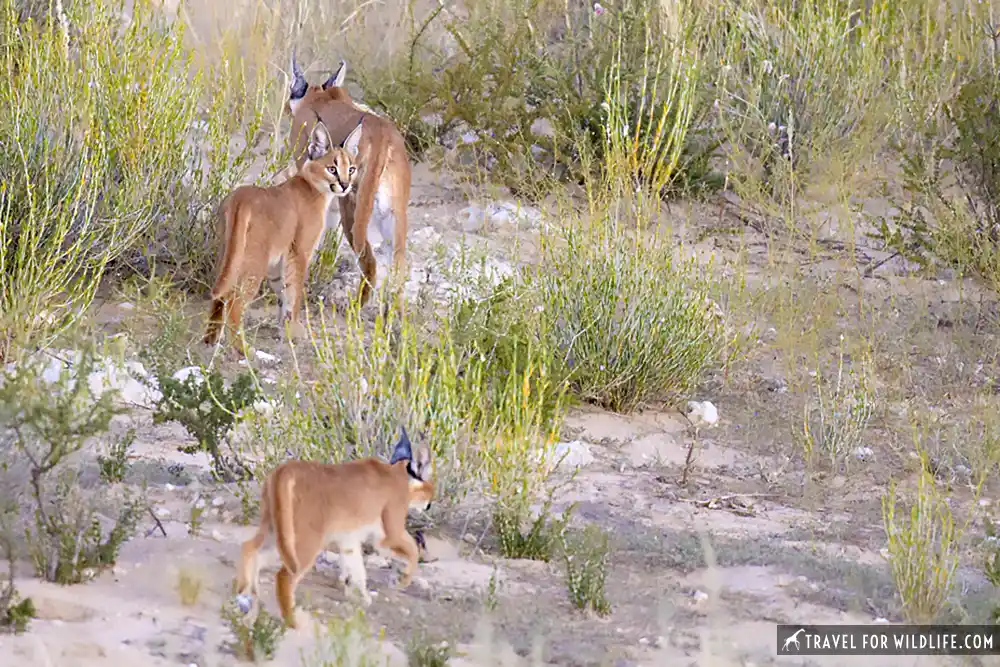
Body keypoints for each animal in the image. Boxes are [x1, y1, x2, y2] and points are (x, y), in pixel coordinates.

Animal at [203, 118, 364, 354]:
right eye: (332, 169)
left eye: (351, 168)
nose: (344, 185)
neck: (313, 186)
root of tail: (240, 198)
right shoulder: (300, 252)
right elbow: (295, 292)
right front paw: (295, 329)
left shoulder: (277, 261)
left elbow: (283, 292)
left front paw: (284, 328)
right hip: (255, 262)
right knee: (235, 301)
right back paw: (242, 349)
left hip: (228, 253)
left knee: (220, 293)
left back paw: (210, 339)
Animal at [238, 428, 438, 628]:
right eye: (432, 488)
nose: (430, 504)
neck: (397, 473)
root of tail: (286, 468)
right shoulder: (391, 532)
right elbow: (413, 550)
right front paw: (402, 580)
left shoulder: (349, 539)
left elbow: (357, 567)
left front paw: (362, 597)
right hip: (305, 539)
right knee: (284, 576)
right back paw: (293, 622)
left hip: (276, 529)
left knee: (250, 548)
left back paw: (247, 602)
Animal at [286, 53, 410, 310]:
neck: (321, 96)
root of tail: (382, 133)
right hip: (394, 212)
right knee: (398, 266)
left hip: (353, 205)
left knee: (369, 260)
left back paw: (357, 307)